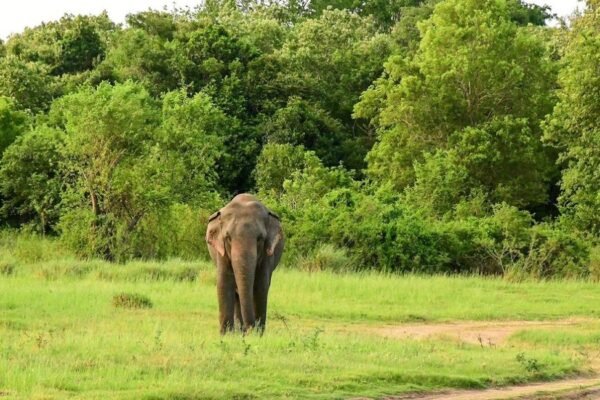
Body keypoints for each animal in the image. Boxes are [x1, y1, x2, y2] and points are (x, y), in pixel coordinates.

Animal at [206, 194, 284, 334]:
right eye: (228, 238)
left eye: (260, 239)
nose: (250, 329)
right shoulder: (222, 253)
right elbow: (224, 283)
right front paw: (226, 335)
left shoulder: (267, 256)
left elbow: (260, 286)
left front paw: (257, 334)